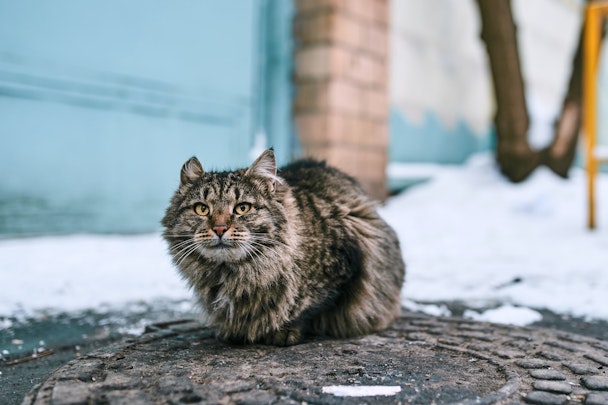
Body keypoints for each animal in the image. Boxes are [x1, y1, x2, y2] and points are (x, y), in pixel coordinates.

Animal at [164, 148, 406, 344]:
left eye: (242, 208)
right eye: (202, 209)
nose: (220, 228)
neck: (231, 273)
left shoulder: (345, 267)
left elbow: (307, 308)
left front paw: (283, 331)